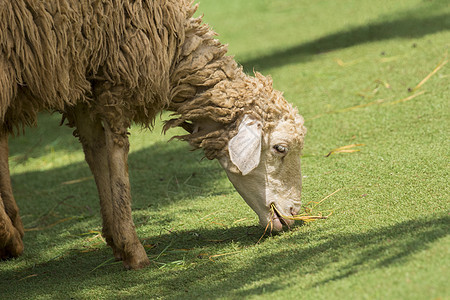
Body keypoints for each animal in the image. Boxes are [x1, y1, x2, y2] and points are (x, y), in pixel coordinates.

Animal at [0, 0, 306, 270]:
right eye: (280, 148)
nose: (295, 212)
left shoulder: (82, 78)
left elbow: (94, 151)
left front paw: (114, 238)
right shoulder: (117, 73)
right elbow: (117, 152)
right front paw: (132, 249)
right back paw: (10, 237)